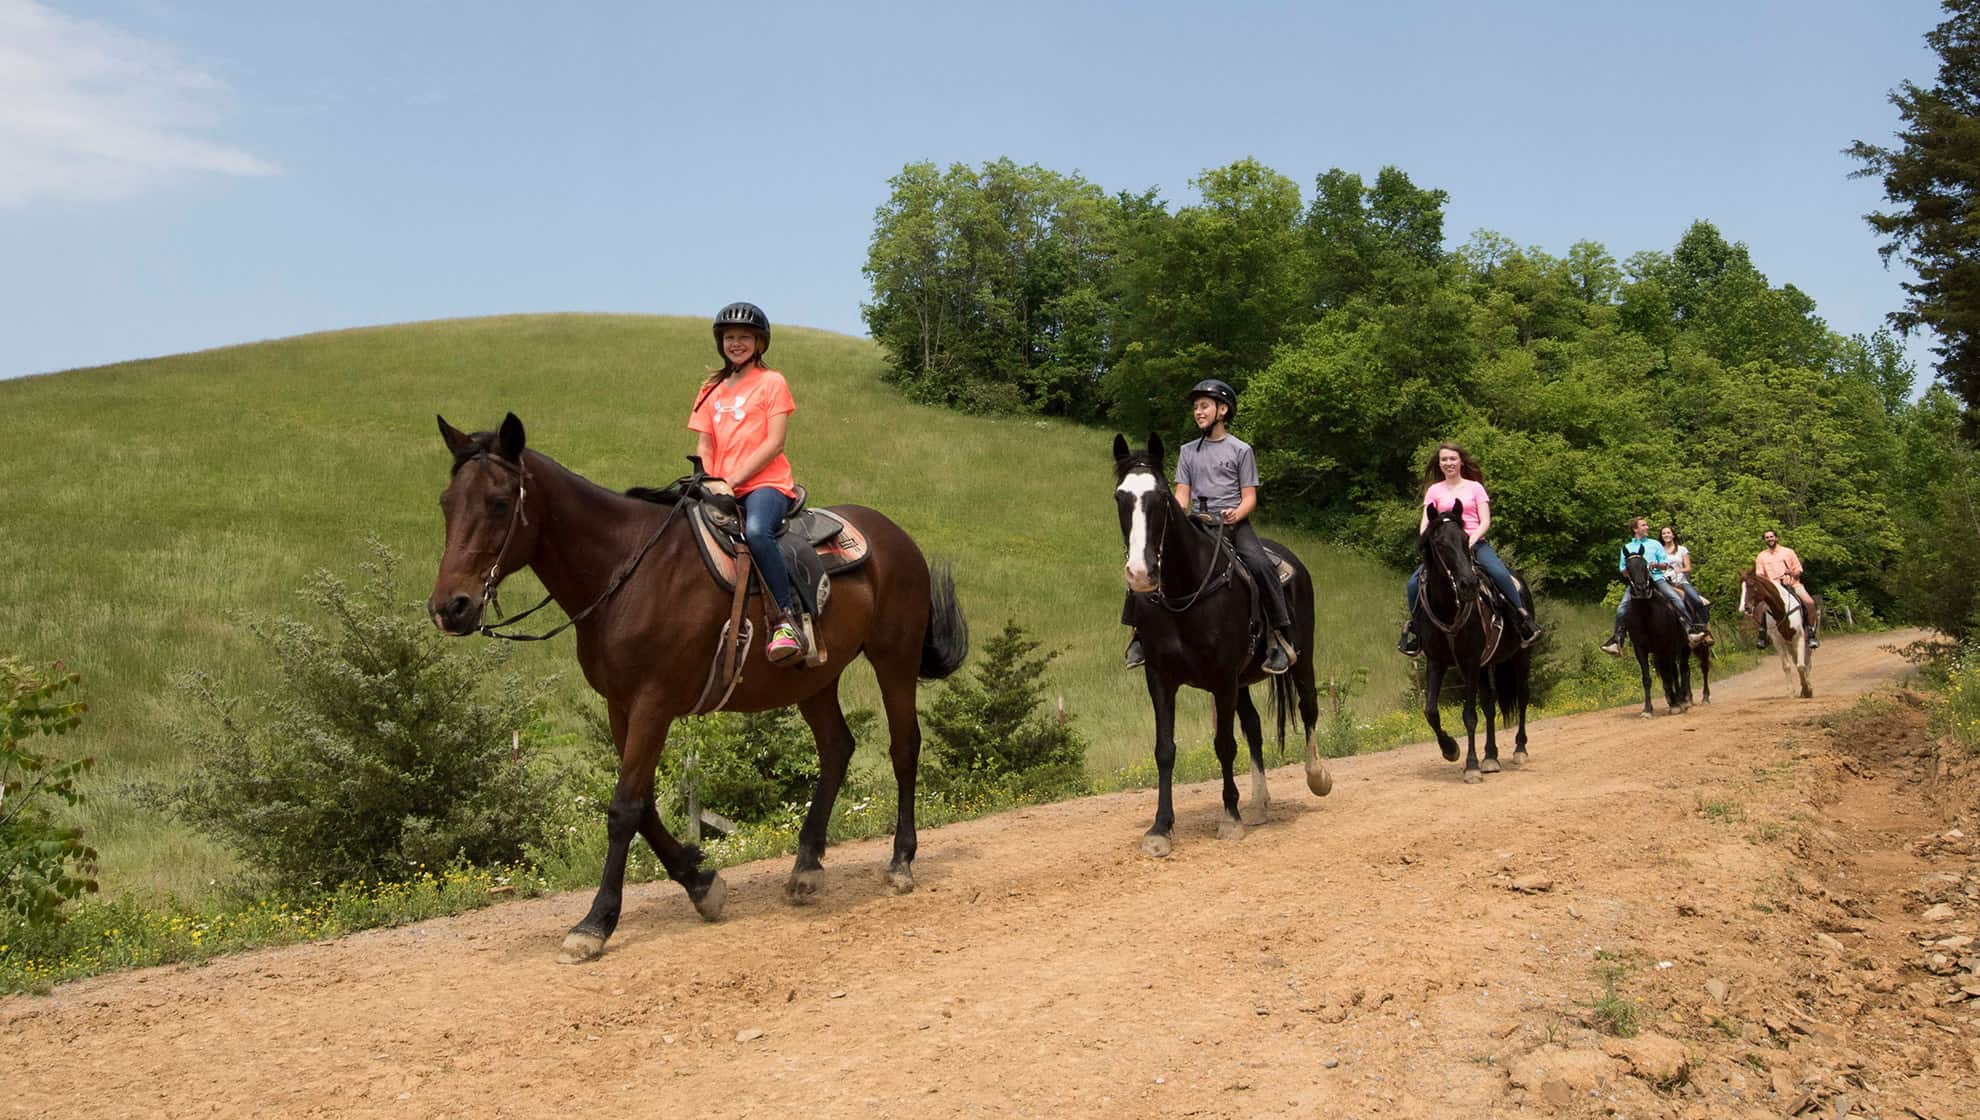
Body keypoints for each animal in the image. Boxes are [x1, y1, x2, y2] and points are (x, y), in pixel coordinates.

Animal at [429, 419, 970, 965]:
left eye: (500, 502)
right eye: (446, 502)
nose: (450, 607)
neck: (627, 571)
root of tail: (895, 535)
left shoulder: (654, 702)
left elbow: (624, 809)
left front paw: (595, 922)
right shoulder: (621, 704)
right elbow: (644, 803)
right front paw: (701, 882)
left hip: (894, 660)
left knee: (903, 748)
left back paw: (900, 861)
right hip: (815, 678)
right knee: (837, 748)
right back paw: (806, 867)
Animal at [1116, 433, 1330, 858]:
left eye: (1160, 498)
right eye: (1120, 497)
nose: (1141, 574)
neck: (1186, 594)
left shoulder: (1223, 680)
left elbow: (1224, 745)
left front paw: (1230, 819)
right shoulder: (1161, 677)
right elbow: (1165, 750)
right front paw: (1160, 829)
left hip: (1300, 660)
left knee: (1308, 708)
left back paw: (1316, 778)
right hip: (1244, 682)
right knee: (1255, 728)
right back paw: (1259, 805)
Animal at [1417, 504, 1536, 787]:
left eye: (1465, 539)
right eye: (1439, 542)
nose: (1468, 584)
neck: (1448, 608)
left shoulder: (1469, 661)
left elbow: (1469, 715)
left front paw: (1471, 766)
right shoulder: (1437, 661)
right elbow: (1431, 711)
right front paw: (1450, 749)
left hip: (1521, 656)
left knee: (1522, 696)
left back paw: (1519, 749)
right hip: (1483, 666)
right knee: (1490, 704)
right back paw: (1491, 757)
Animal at [1615, 554, 1710, 720]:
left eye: (1645, 566)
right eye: (1628, 567)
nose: (1641, 589)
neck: (1646, 615)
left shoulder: (1665, 647)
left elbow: (1669, 675)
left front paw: (1676, 704)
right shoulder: (1642, 649)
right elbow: (1649, 678)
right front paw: (1648, 709)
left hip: (1692, 645)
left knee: (1697, 667)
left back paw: (1700, 698)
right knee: (1681, 670)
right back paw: (1684, 698)